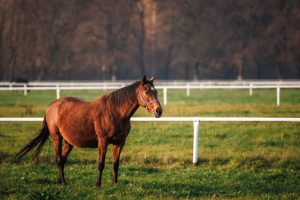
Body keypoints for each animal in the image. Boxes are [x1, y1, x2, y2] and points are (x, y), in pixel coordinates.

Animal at [16, 75, 162, 188]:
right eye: (146, 91)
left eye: (156, 92)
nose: (158, 111)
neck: (115, 112)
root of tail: (52, 105)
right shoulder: (102, 141)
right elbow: (101, 163)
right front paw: (98, 184)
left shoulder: (120, 143)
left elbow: (115, 164)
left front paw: (114, 184)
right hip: (56, 138)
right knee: (58, 159)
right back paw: (63, 182)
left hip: (68, 142)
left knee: (62, 160)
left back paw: (60, 180)